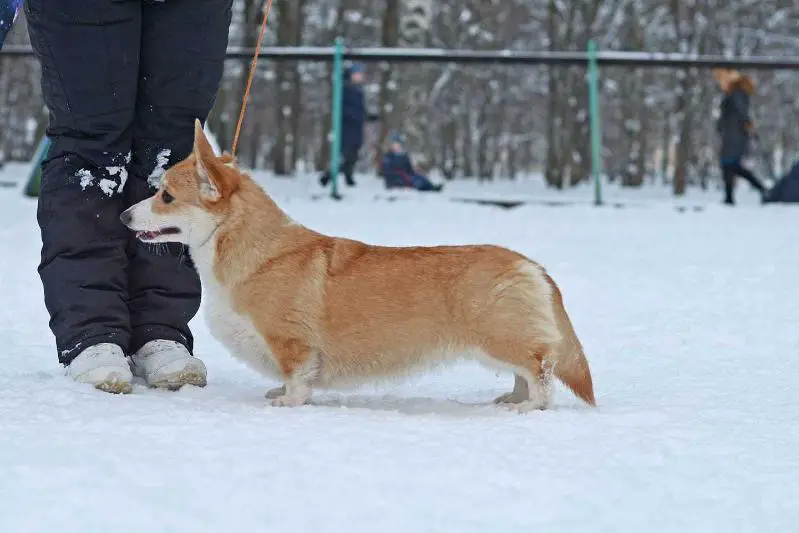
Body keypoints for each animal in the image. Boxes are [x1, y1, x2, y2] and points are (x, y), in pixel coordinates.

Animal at [119, 121, 592, 412]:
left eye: (165, 196)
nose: (122, 217)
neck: (253, 248)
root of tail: (531, 265)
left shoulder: (292, 343)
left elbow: (298, 379)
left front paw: (286, 402)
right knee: (526, 373)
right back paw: (511, 400)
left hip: (500, 338)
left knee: (541, 371)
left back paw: (529, 406)